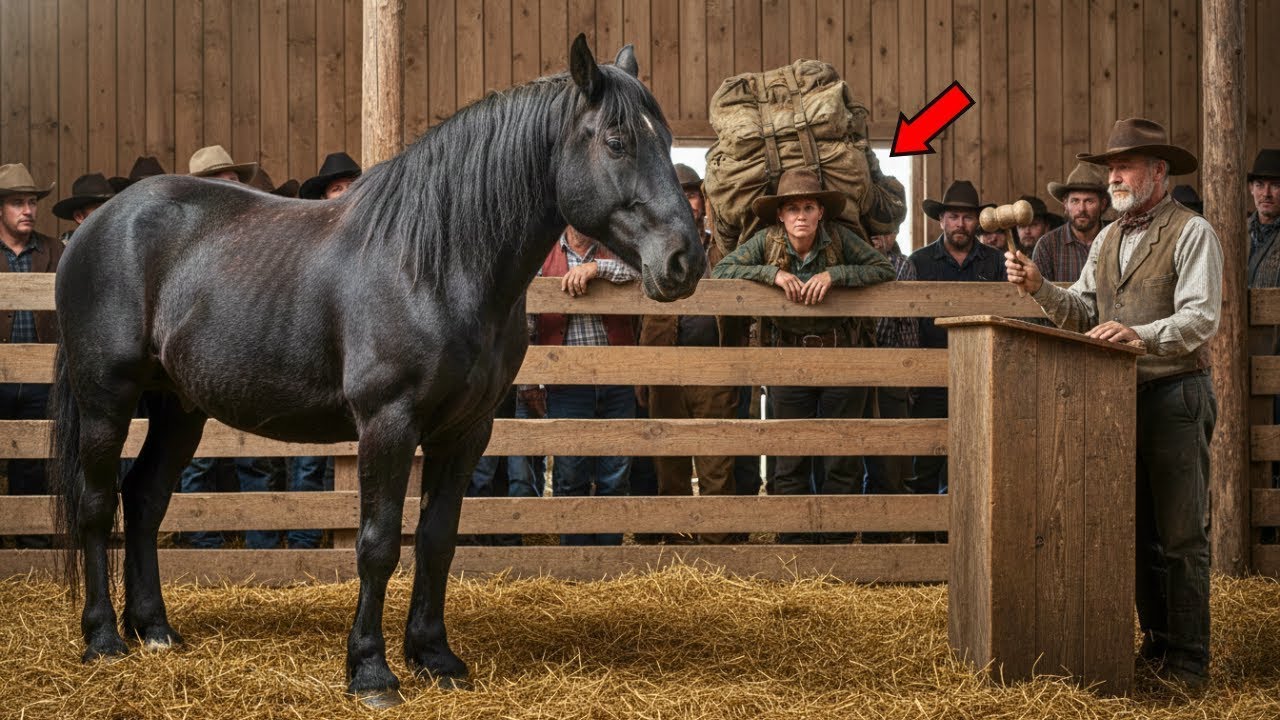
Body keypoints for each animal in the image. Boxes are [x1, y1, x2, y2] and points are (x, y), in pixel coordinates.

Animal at [49, 35, 703, 703]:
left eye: (666, 137)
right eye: (617, 140)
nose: (686, 260)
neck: (434, 265)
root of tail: (98, 224)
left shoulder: (465, 433)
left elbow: (437, 541)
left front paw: (435, 656)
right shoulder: (388, 425)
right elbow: (378, 544)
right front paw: (370, 669)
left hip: (178, 408)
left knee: (144, 498)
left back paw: (155, 630)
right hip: (107, 400)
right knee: (97, 505)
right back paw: (103, 639)